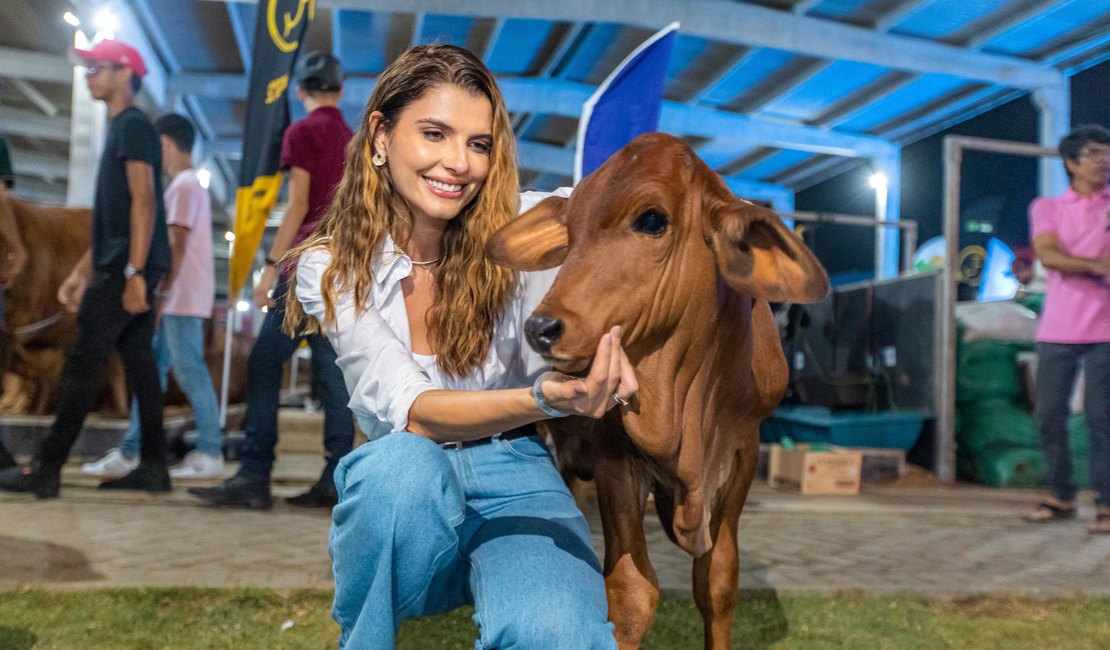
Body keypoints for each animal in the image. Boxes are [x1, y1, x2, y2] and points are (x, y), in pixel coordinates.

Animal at [490, 133, 830, 647]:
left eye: (652, 219)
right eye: (571, 228)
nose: (541, 328)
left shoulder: (743, 453)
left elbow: (718, 583)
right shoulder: (613, 457)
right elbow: (632, 594)